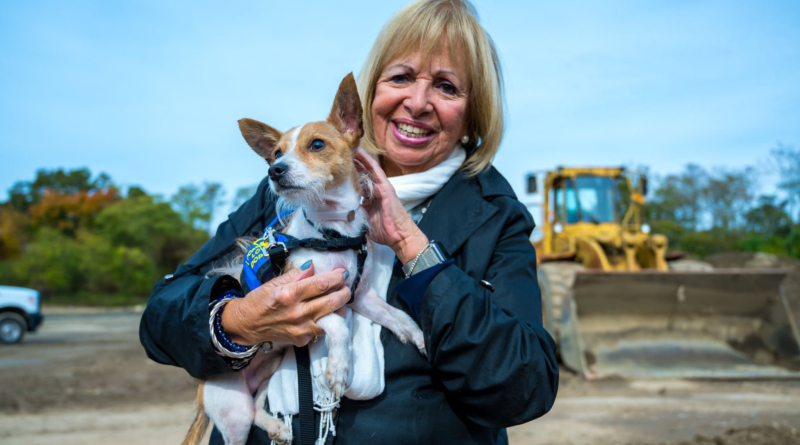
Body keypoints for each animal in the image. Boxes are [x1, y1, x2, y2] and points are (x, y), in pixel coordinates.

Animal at [184, 73, 428, 444]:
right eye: (276, 153)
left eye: (316, 145)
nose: (275, 170)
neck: (332, 231)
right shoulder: (308, 302)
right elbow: (340, 328)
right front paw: (339, 369)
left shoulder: (359, 296)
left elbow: (395, 314)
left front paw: (415, 334)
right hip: (232, 411)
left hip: (266, 374)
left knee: (258, 408)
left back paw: (276, 426)